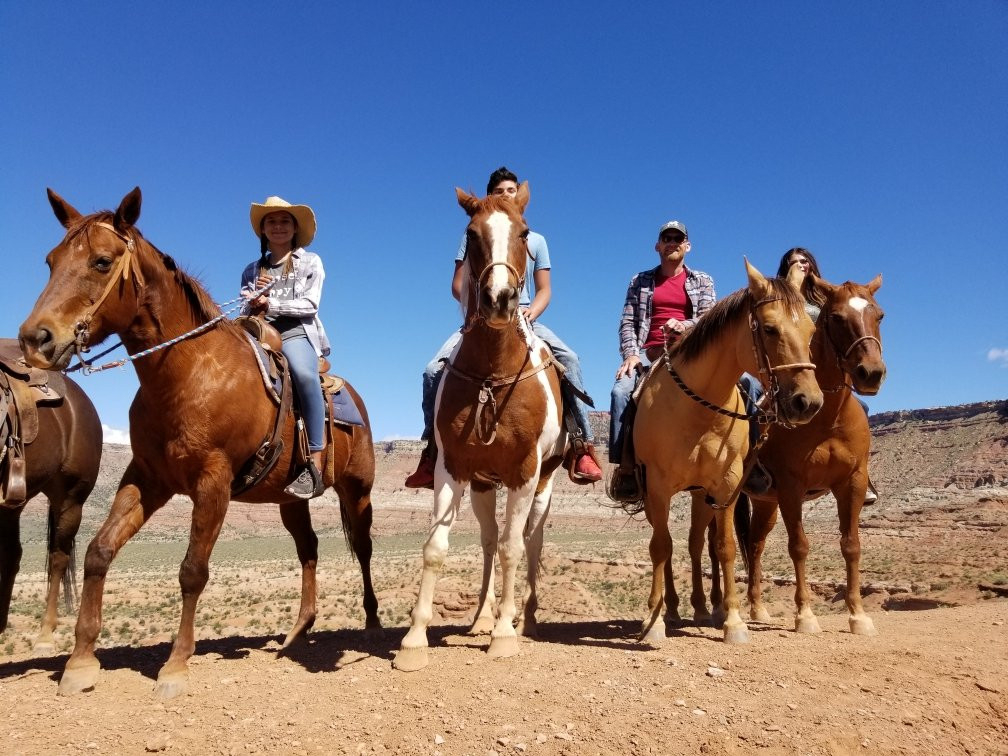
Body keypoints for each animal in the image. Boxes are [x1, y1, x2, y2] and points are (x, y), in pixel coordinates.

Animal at [18, 187, 379, 699]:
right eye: (50, 261)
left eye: (102, 262)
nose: (35, 339)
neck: (187, 373)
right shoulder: (148, 478)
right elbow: (98, 551)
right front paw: (81, 661)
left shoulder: (214, 482)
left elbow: (192, 570)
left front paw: (175, 666)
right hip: (289, 498)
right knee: (307, 548)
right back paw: (296, 632)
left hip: (357, 489)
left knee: (363, 547)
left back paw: (371, 623)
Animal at [394, 183, 566, 672]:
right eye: (471, 235)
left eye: (525, 233)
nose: (500, 299)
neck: (492, 375)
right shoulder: (452, 467)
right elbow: (436, 548)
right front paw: (414, 640)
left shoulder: (525, 471)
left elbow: (513, 548)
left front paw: (505, 634)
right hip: (486, 485)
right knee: (490, 541)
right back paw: (480, 618)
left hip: (543, 483)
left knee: (529, 542)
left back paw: (525, 619)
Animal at [629, 261, 823, 645]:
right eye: (769, 328)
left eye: (810, 330)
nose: (807, 402)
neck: (698, 409)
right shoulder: (658, 486)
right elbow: (660, 547)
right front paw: (652, 622)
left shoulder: (726, 484)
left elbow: (725, 547)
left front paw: (733, 621)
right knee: (667, 544)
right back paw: (669, 611)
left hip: (701, 495)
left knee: (693, 543)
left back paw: (702, 609)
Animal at [734, 273, 885, 635]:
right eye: (837, 318)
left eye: (880, 315)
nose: (871, 373)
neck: (827, 418)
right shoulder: (792, 487)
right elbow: (799, 547)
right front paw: (805, 615)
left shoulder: (852, 482)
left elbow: (851, 545)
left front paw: (858, 616)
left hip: (766, 502)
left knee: (756, 545)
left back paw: (758, 609)